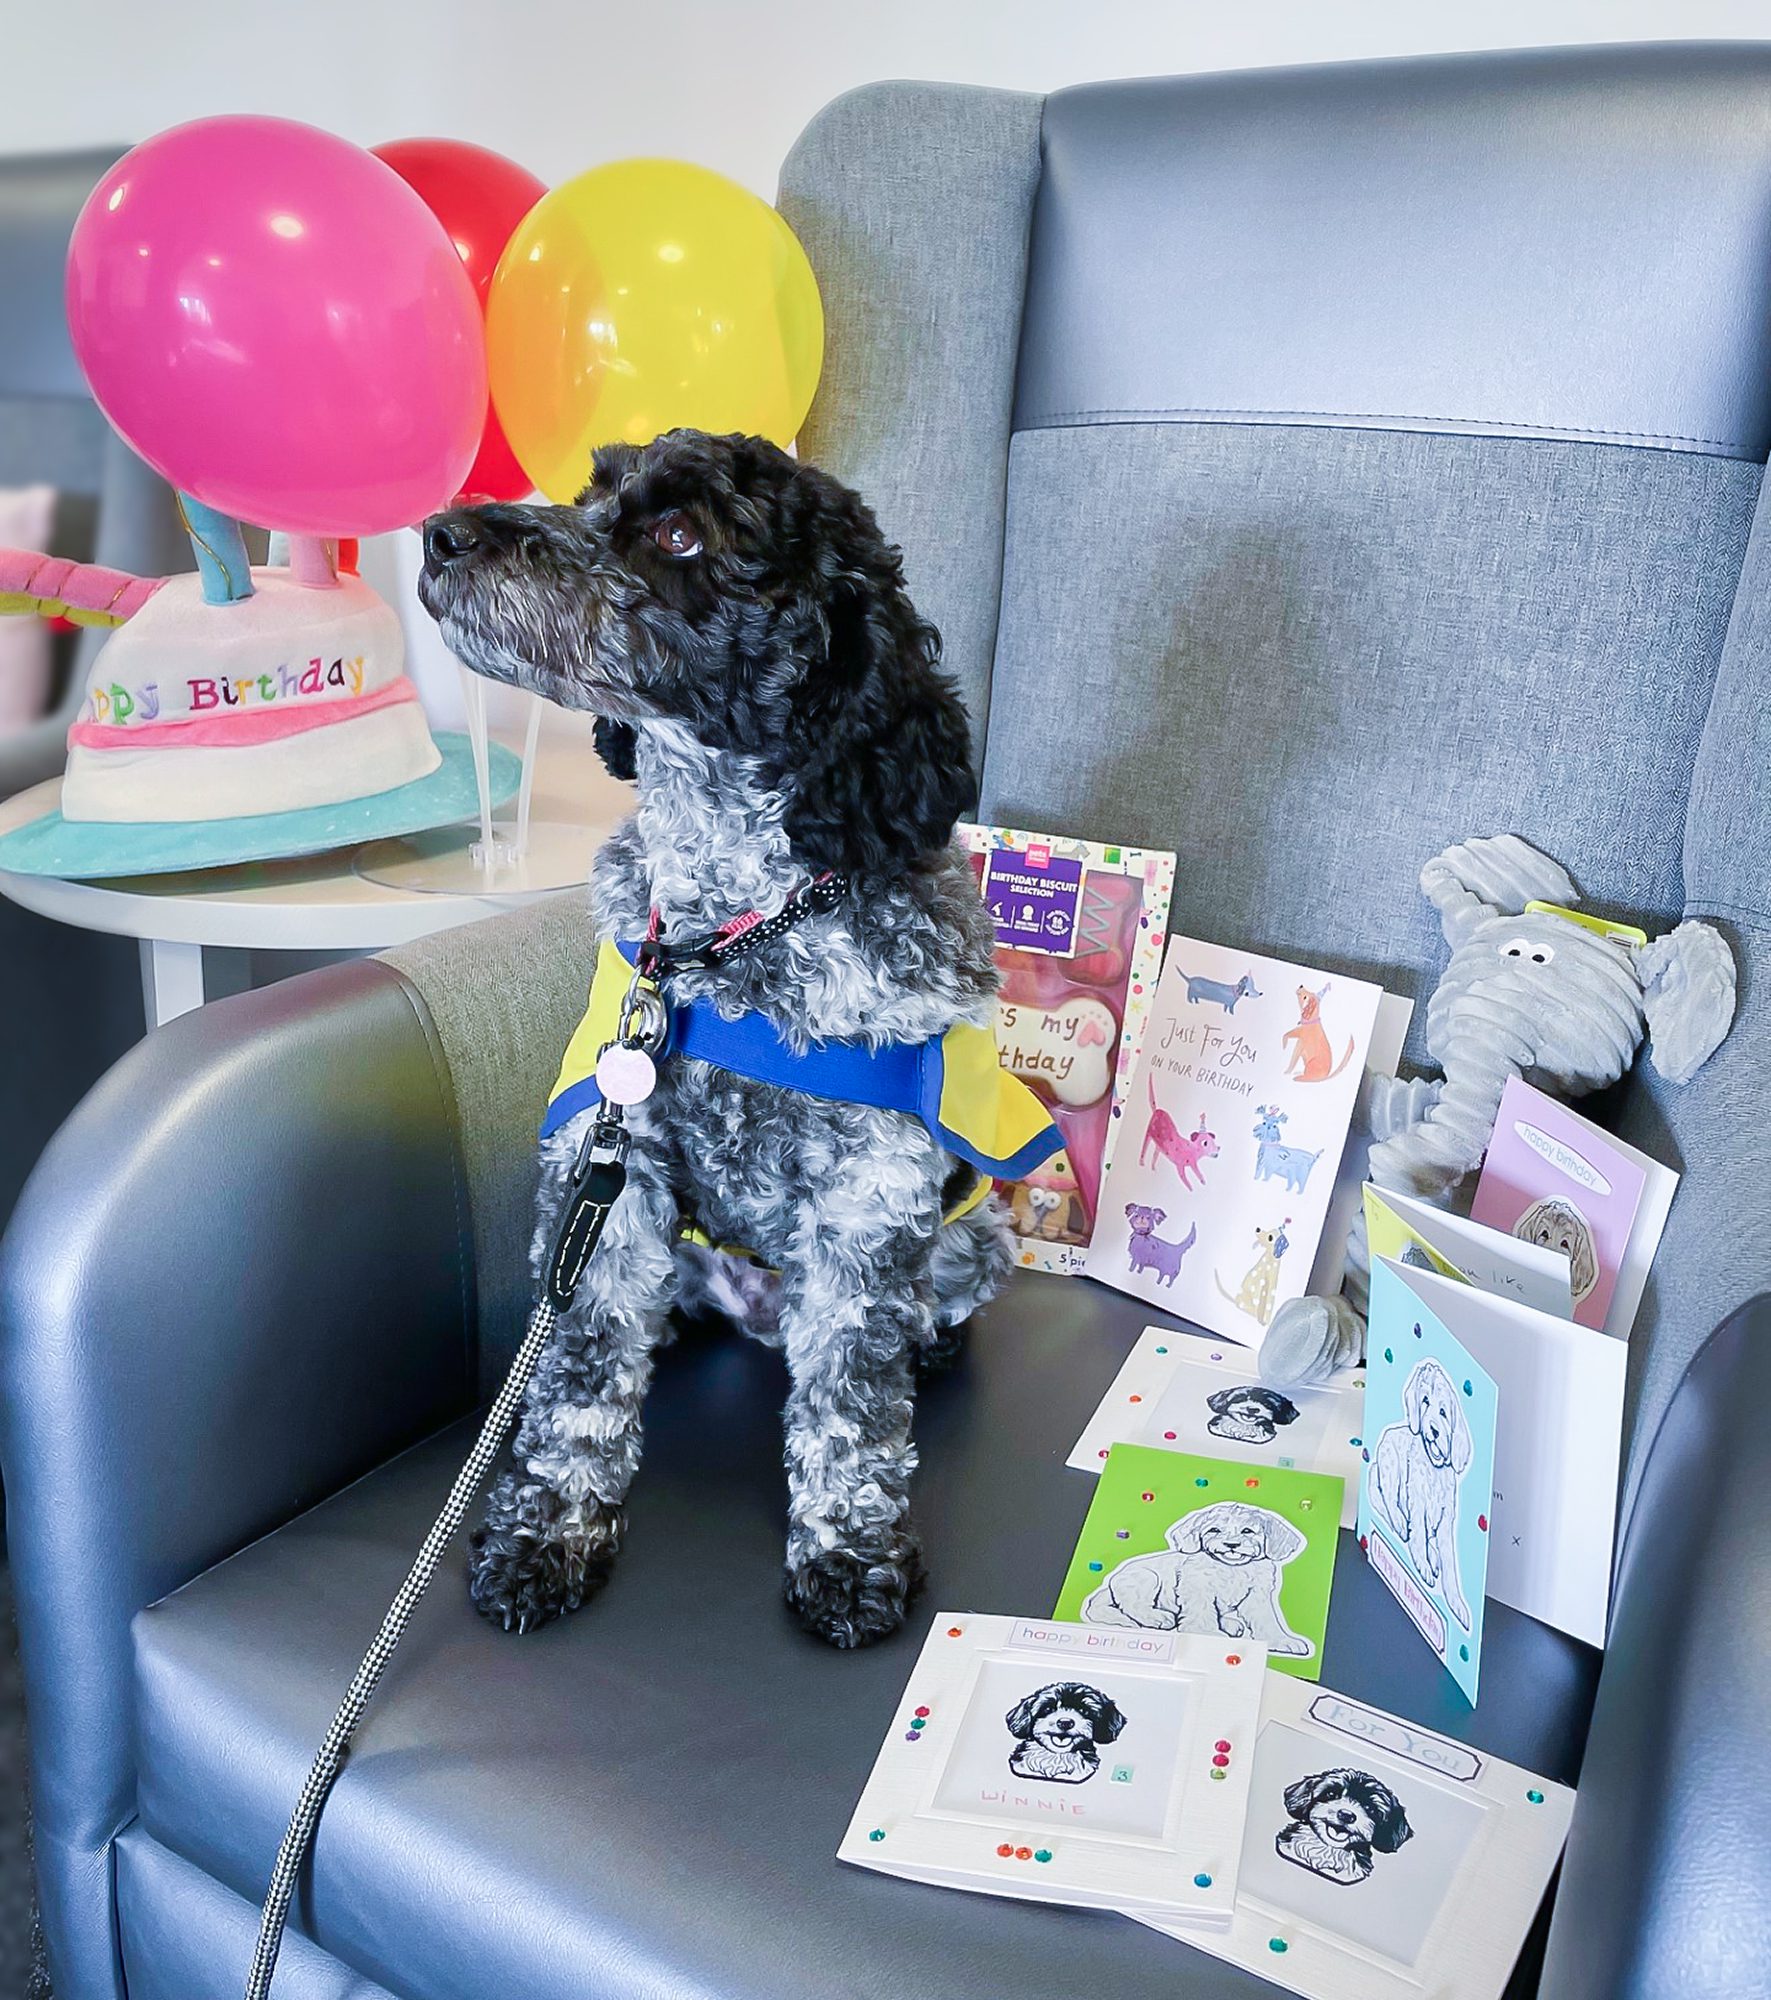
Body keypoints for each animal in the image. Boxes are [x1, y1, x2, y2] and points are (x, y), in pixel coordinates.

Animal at [417, 430, 1019, 1648]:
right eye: (590, 491)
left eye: (680, 534)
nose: (442, 531)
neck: (728, 933)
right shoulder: (612, 1173)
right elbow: (578, 1389)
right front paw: (547, 1534)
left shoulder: (868, 1206)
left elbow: (851, 1414)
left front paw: (849, 1555)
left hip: (976, 1237)